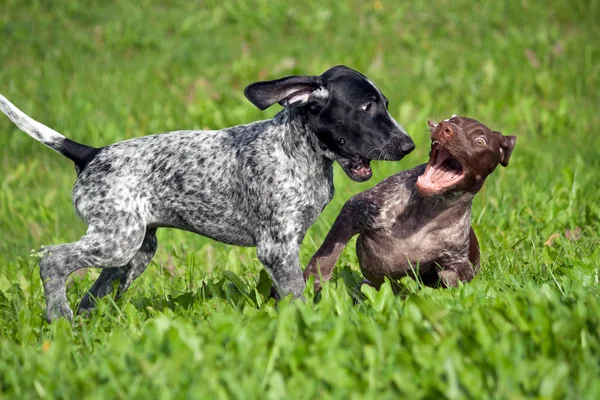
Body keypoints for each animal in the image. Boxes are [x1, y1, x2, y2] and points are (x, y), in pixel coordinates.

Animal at [0, 66, 414, 322]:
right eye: (366, 106)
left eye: (385, 104)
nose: (409, 145)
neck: (299, 149)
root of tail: (92, 154)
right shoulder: (277, 248)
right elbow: (295, 295)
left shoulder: (287, 247)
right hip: (117, 243)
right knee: (52, 260)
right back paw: (58, 318)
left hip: (133, 251)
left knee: (92, 295)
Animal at [304, 115, 516, 290]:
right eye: (453, 121)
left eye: (480, 141)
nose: (445, 127)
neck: (430, 210)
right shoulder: (354, 210)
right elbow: (325, 257)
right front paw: (311, 289)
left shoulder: (456, 264)